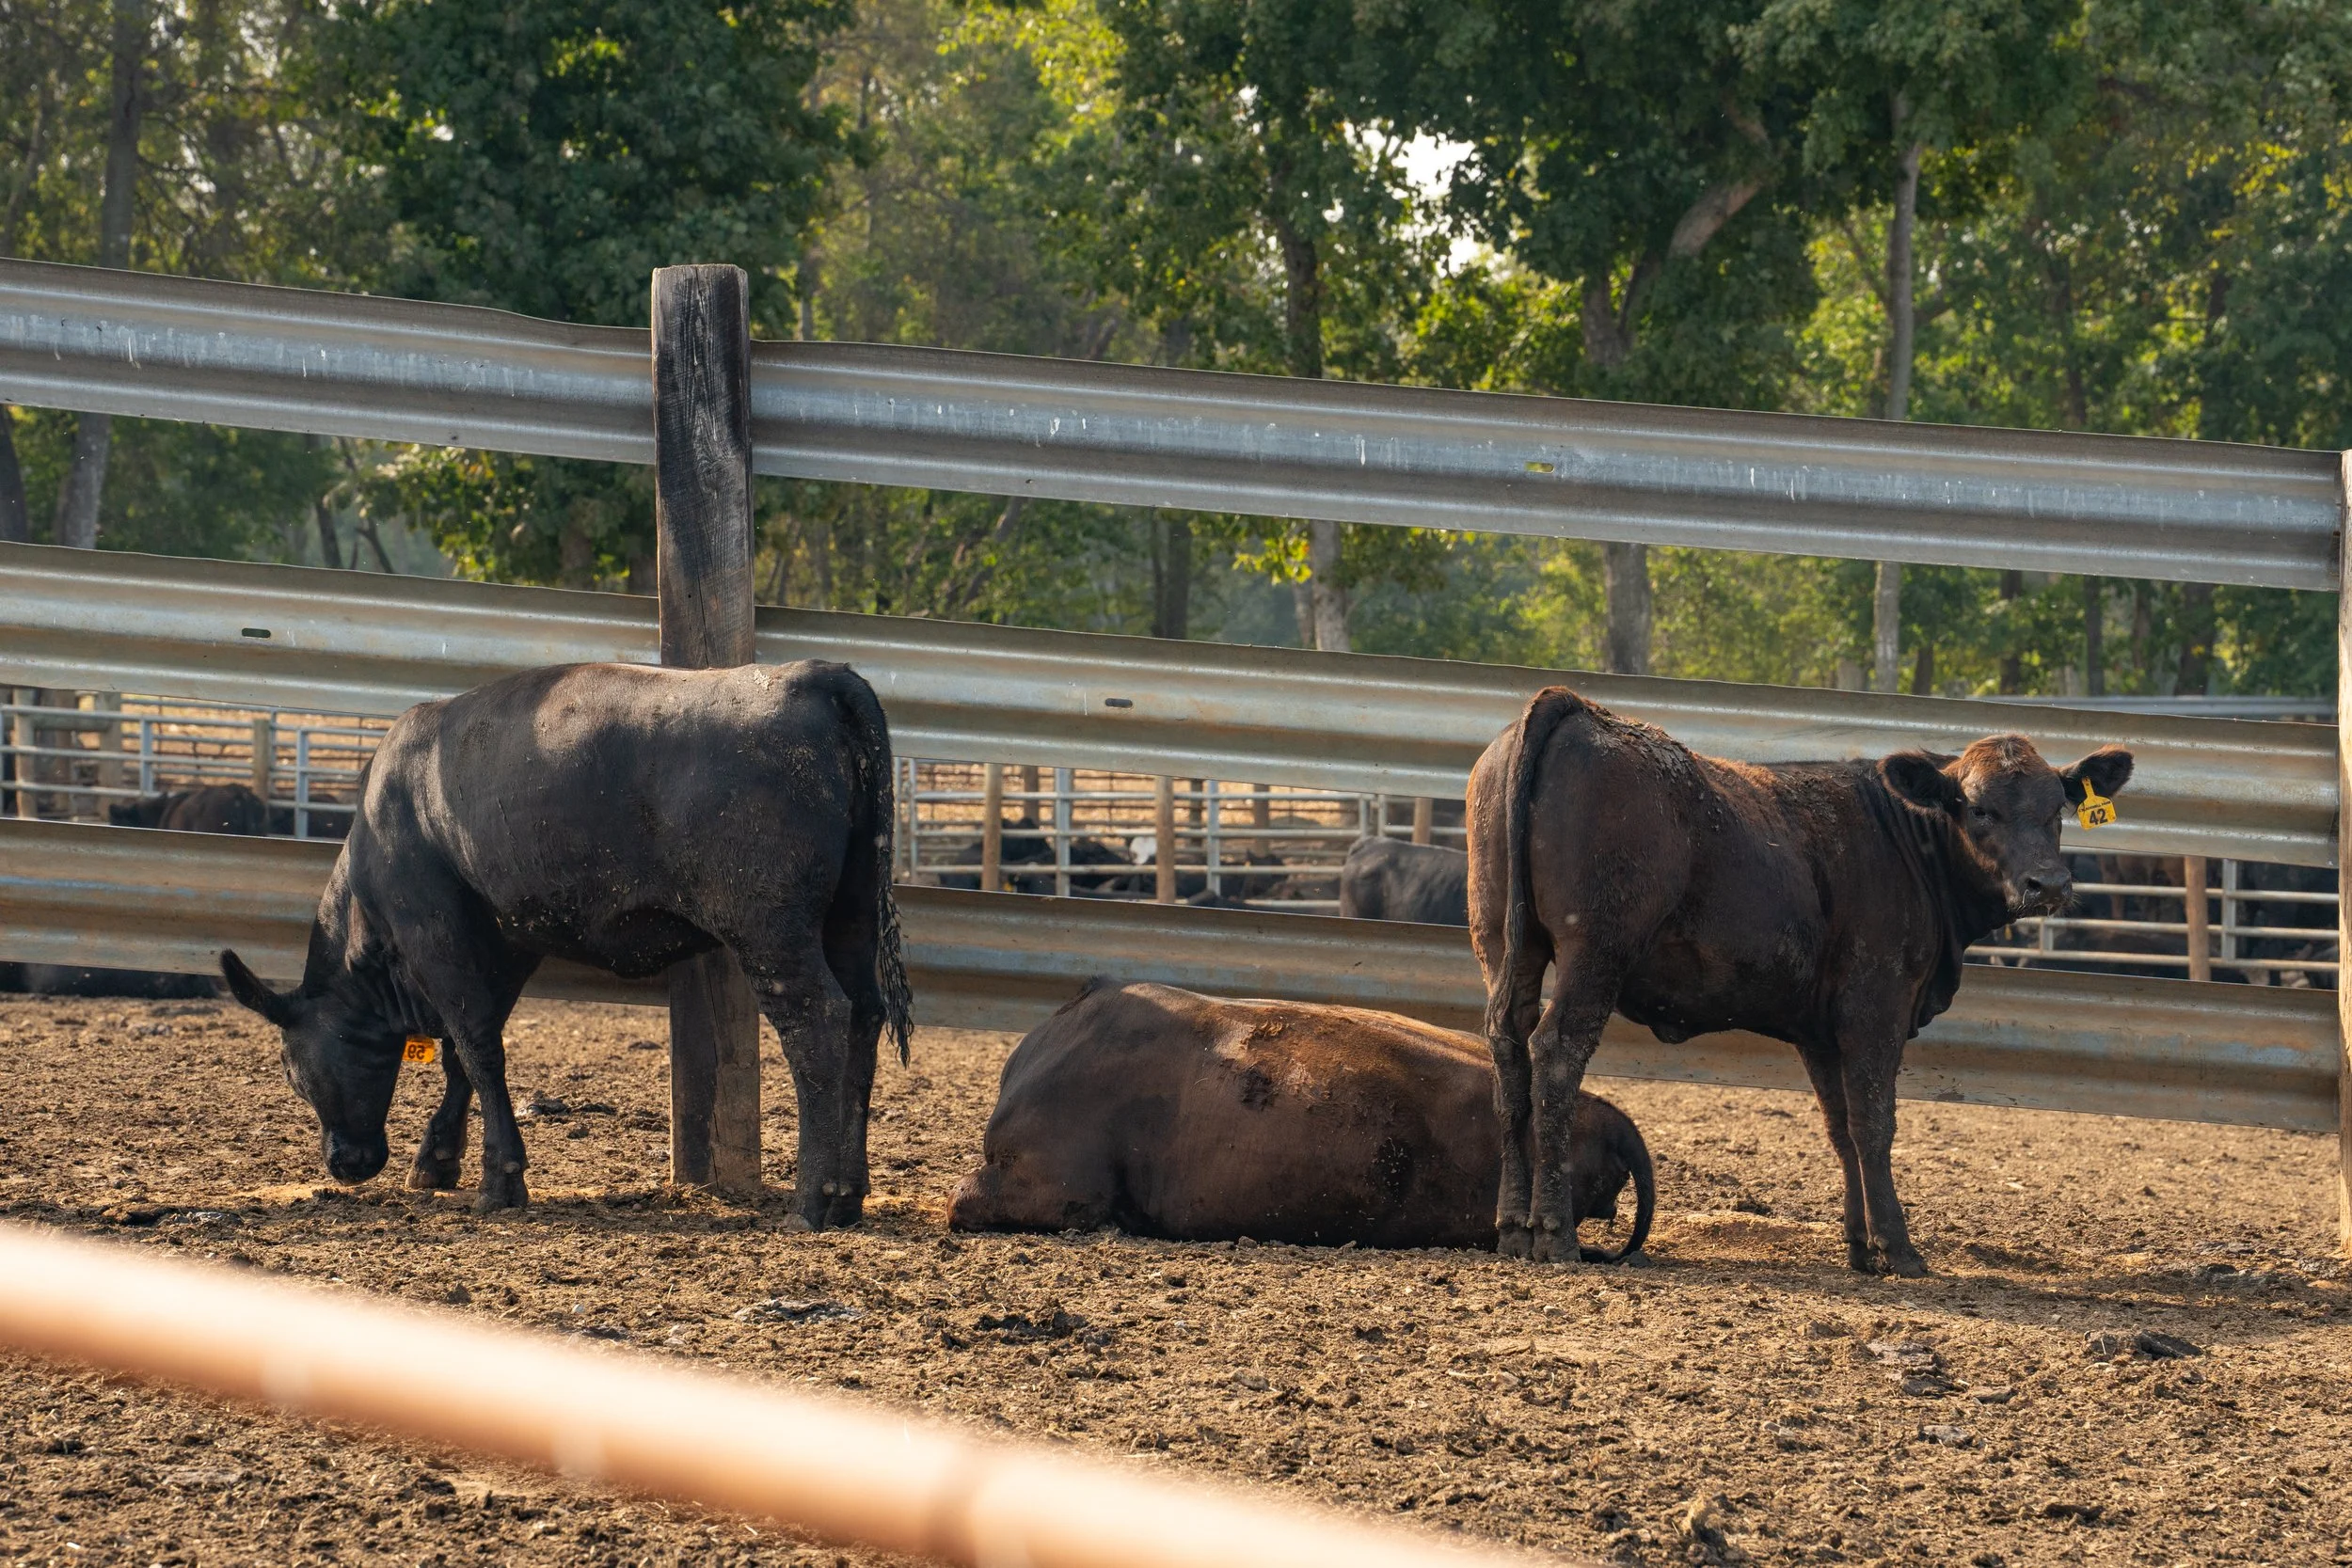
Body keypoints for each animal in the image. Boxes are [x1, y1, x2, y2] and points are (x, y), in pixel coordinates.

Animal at [215, 661, 913, 1225]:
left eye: (293, 1073)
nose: (344, 1163)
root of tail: (813, 675)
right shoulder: (506, 941)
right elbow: (463, 1054)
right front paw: (438, 1159)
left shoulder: (434, 932)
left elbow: (477, 1048)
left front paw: (499, 1180)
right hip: (849, 916)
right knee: (864, 1015)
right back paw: (850, 1194)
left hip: (770, 929)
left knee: (818, 1023)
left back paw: (813, 1199)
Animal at [1470, 687, 2131, 1276]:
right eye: (1979, 808)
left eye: (2057, 808)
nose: (2048, 884)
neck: (1906, 843)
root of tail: (1577, 708)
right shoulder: (1876, 1005)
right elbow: (1873, 1123)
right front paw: (1898, 1248)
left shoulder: (1820, 1031)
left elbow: (1840, 1129)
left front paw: (1860, 1247)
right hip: (1595, 951)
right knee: (1556, 1054)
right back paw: (1554, 1233)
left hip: (1504, 945)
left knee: (1509, 1052)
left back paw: (1512, 1227)